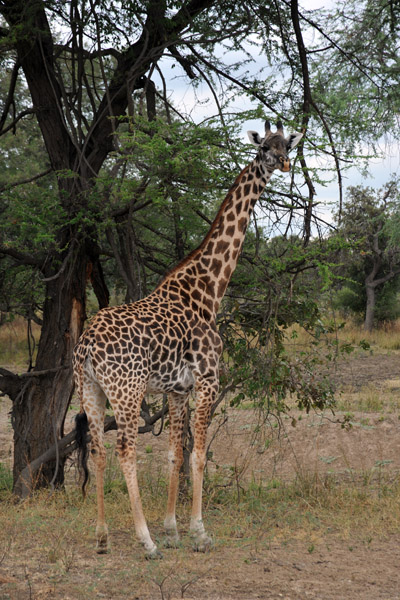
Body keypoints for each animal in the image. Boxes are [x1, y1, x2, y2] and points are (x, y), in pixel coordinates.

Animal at [73, 120, 302, 556]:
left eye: (288, 145)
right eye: (263, 147)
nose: (282, 163)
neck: (210, 289)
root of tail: (87, 344)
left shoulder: (177, 389)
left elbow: (174, 455)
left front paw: (172, 528)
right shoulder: (209, 379)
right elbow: (198, 455)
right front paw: (198, 532)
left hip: (89, 389)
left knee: (97, 450)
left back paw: (102, 537)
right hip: (127, 390)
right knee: (125, 449)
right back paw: (145, 541)